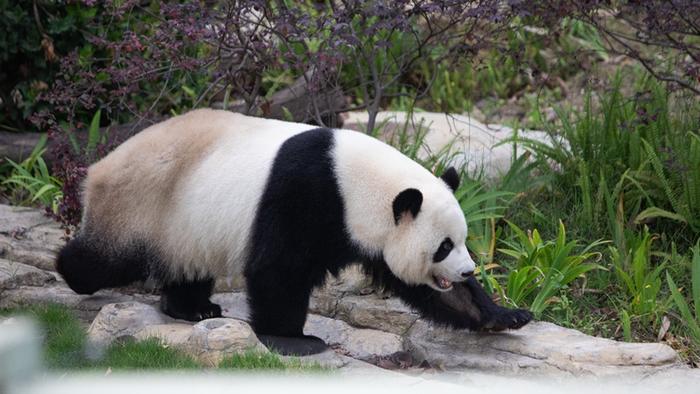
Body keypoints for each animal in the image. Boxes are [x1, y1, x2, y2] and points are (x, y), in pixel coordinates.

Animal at [56, 109, 532, 356]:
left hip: (186, 223)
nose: (468, 270)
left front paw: (504, 315)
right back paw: (71, 273)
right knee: (108, 256)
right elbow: (278, 270)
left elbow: (427, 291)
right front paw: (294, 340)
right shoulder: (305, 194)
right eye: (443, 247)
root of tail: (100, 167)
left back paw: (194, 309)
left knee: (186, 266)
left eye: (463, 240)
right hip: (147, 205)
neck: (357, 182)